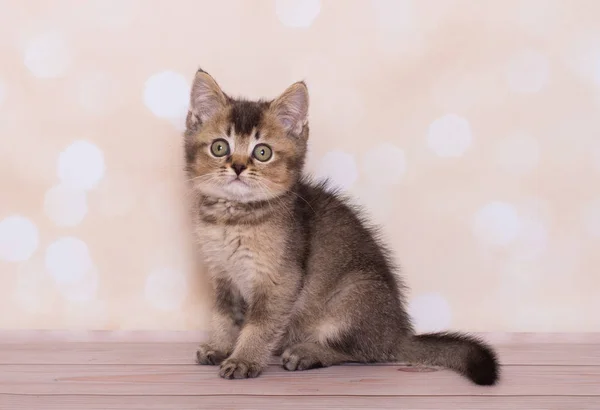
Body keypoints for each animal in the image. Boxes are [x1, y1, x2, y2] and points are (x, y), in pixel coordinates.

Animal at [185, 67, 500, 384]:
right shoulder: (223, 275)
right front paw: (220, 347)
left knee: (362, 353)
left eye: (262, 152)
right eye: (219, 147)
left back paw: (308, 352)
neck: (231, 218)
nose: (237, 167)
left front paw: (244, 359)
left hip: (354, 295)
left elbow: (259, 326)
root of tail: (398, 334)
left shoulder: (280, 280)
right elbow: (223, 316)